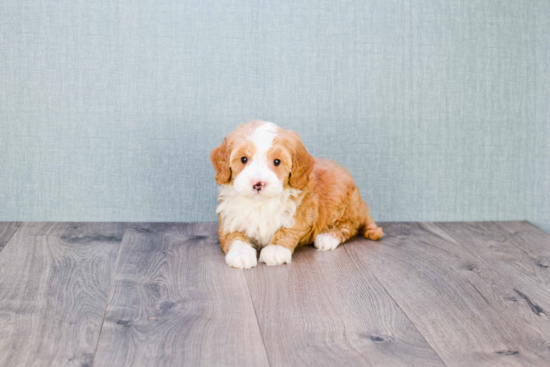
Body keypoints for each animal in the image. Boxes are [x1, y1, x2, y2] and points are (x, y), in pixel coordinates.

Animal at [211, 122, 384, 268]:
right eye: (243, 159)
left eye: (277, 162)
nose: (258, 183)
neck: (260, 203)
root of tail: (362, 206)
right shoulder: (229, 217)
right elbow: (233, 236)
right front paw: (241, 254)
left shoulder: (302, 211)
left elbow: (288, 229)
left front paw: (276, 249)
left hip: (343, 201)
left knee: (349, 226)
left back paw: (327, 238)